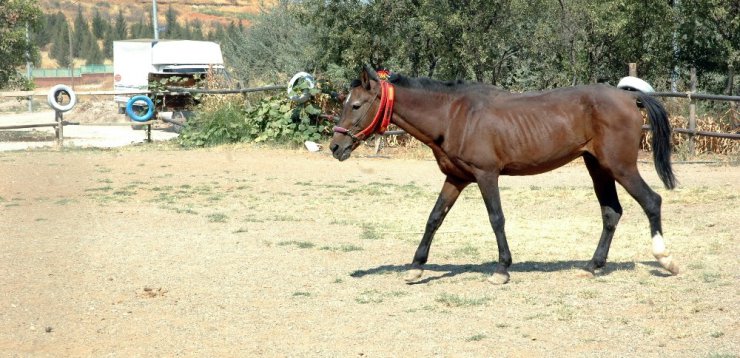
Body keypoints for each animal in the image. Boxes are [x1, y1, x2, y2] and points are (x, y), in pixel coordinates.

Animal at [332, 65, 680, 284]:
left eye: (356, 105)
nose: (336, 146)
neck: (453, 116)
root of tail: (629, 96)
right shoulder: (456, 178)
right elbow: (434, 218)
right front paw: (416, 267)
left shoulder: (486, 175)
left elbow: (496, 218)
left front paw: (502, 269)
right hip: (598, 167)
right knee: (611, 212)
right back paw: (592, 266)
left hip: (621, 167)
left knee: (652, 201)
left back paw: (665, 260)